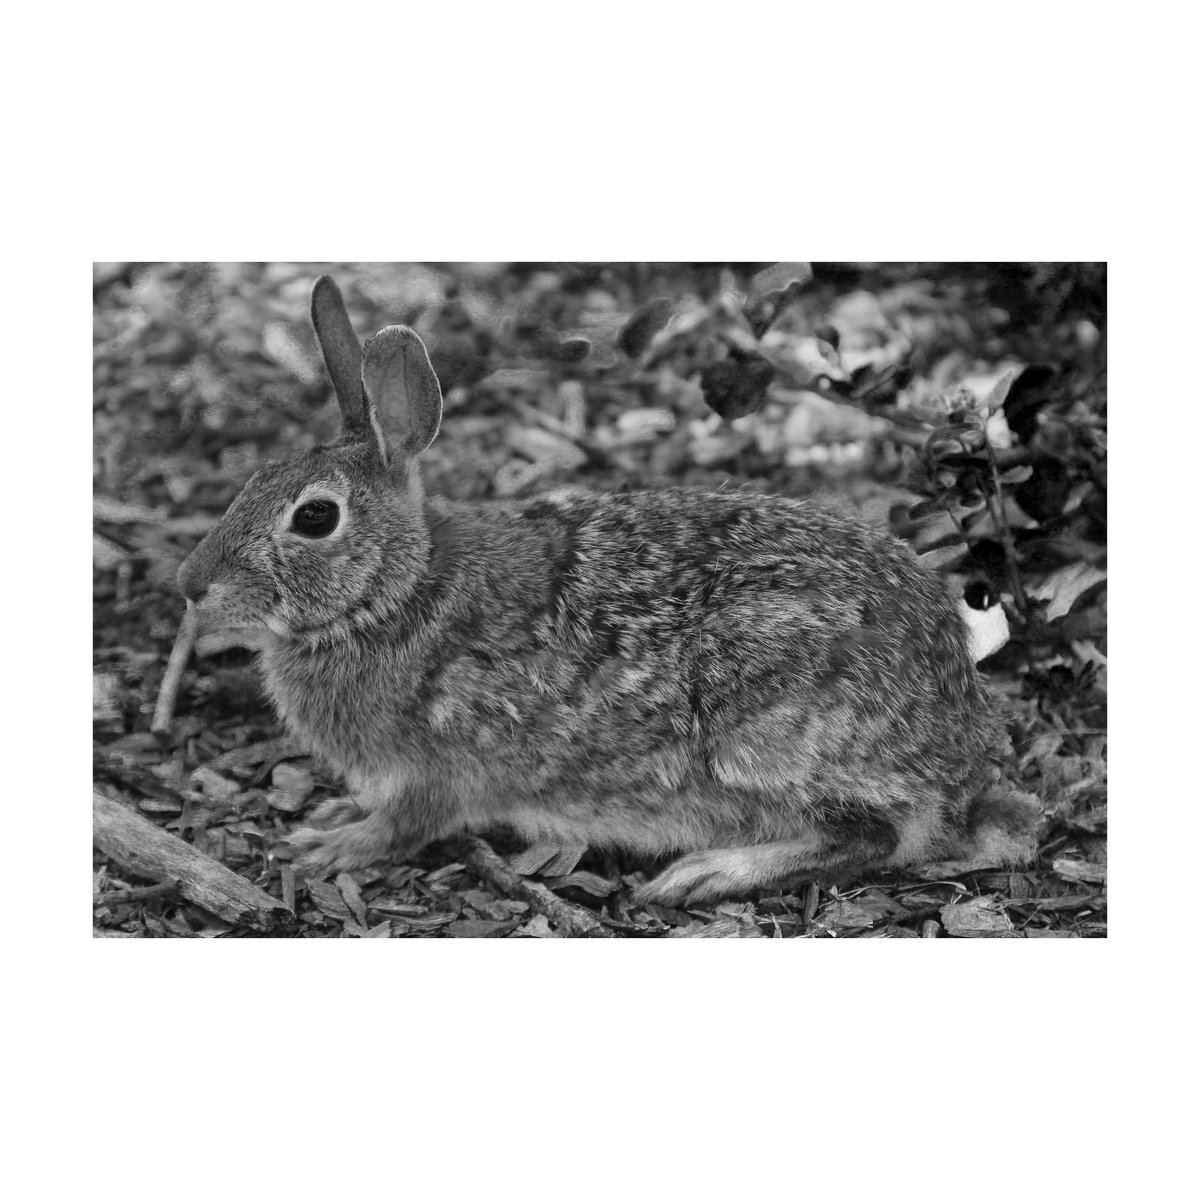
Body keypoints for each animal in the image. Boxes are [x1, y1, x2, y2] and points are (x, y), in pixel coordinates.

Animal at [176, 275, 1040, 907]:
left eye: (315, 518)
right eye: (255, 479)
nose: (191, 586)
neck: (397, 591)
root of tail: (957, 754)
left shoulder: (437, 771)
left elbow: (400, 826)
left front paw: (330, 845)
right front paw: (331, 814)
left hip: (766, 730)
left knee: (872, 837)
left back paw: (704, 875)